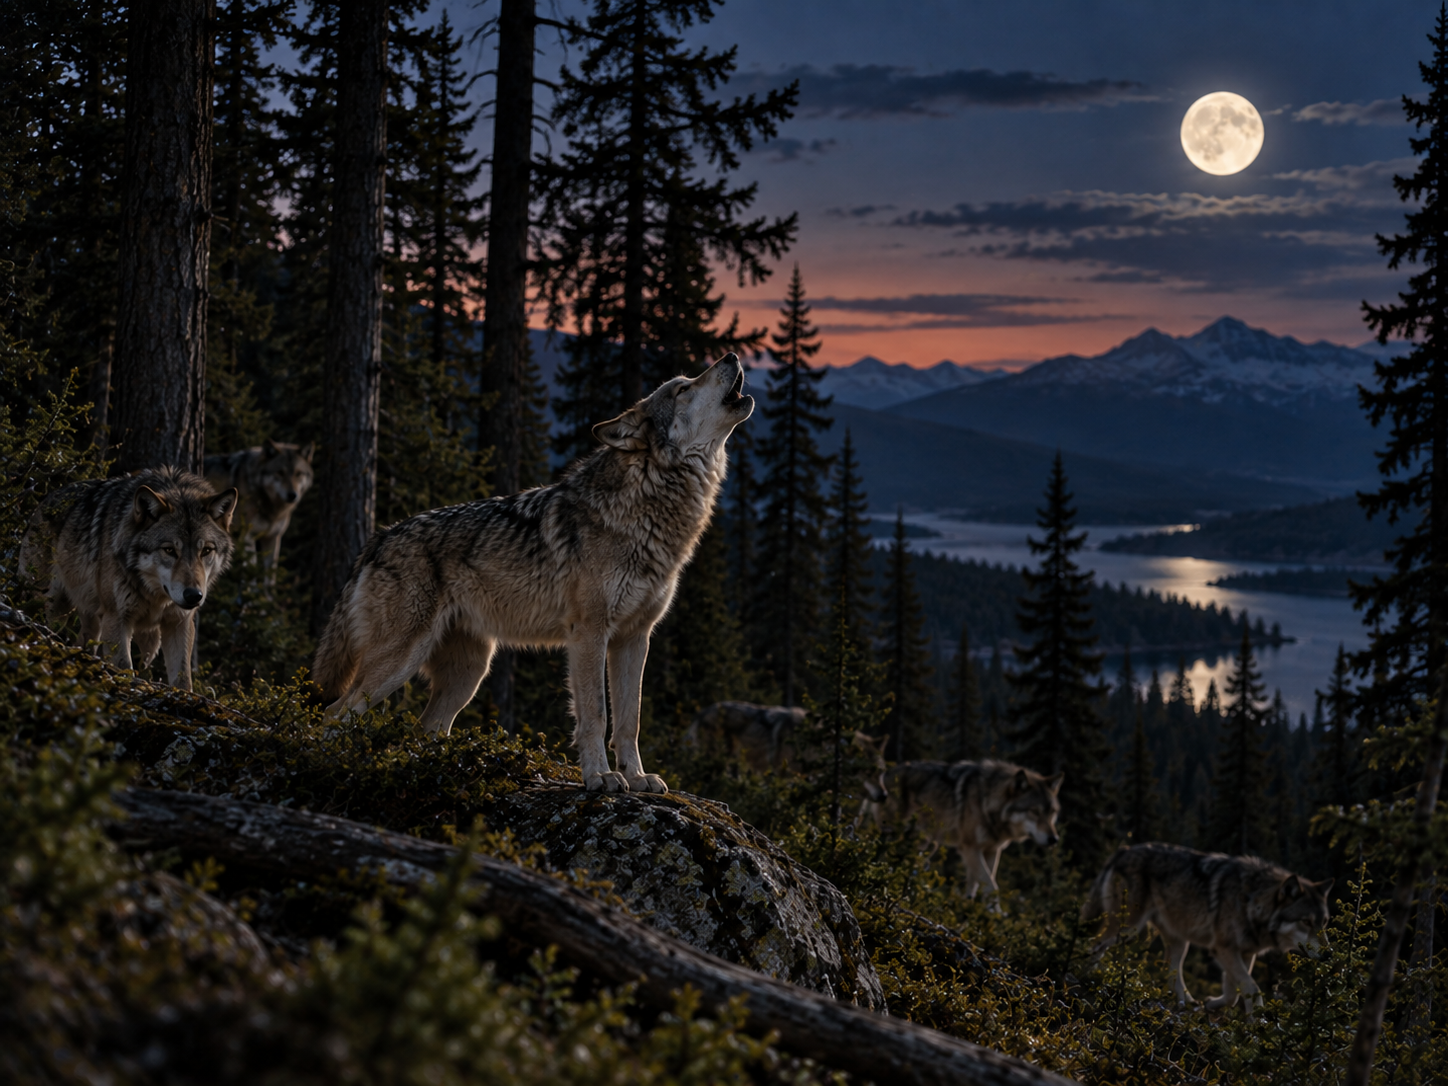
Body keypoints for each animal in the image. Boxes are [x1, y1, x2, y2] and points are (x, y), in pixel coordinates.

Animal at [18, 467, 237, 690]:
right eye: (169, 550)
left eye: (206, 551)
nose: (194, 595)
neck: (155, 596)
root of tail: (46, 498)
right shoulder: (117, 617)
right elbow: (124, 667)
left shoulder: (179, 622)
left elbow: (183, 679)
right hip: (50, 605)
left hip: (94, 618)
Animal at [204, 439, 314, 571]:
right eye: (280, 472)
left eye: (298, 473)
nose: (292, 495)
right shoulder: (247, 537)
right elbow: (251, 570)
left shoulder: (273, 537)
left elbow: (270, 572)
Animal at [312, 354, 753, 792]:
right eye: (683, 388)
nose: (731, 356)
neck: (649, 504)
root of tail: (379, 538)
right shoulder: (589, 633)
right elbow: (596, 714)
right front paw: (600, 776)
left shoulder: (634, 638)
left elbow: (631, 719)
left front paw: (637, 777)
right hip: (400, 662)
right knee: (336, 712)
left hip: (469, 675)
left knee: (426, 728)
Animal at [859, 759, 1064, 899]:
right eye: (1035, 812)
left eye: (1052, 812)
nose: (1054, 839)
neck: (987, 802)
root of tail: (883, 777)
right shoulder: (969, 848)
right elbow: (990, 885)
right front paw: (996, 916)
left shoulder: (992, 850)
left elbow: (976, 884)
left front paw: (969, 911)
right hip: (893, 835)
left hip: (924, 844)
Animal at [1081, 843, 1333, 1011]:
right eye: (1306, 921)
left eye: (1324, 922)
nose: (1329, 954)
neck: (1252, 900)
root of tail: (1123, 850)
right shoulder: (1223, 948)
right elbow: (1251, 988)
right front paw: (1257, 1021)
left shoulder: (1245, 953)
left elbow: (1233, 992)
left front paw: (1214, 1004)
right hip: (1128, 928)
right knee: (1094, 944)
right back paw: (1089, 977)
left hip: (1180, 940)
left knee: (1172, 968)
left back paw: (1186, 1001)